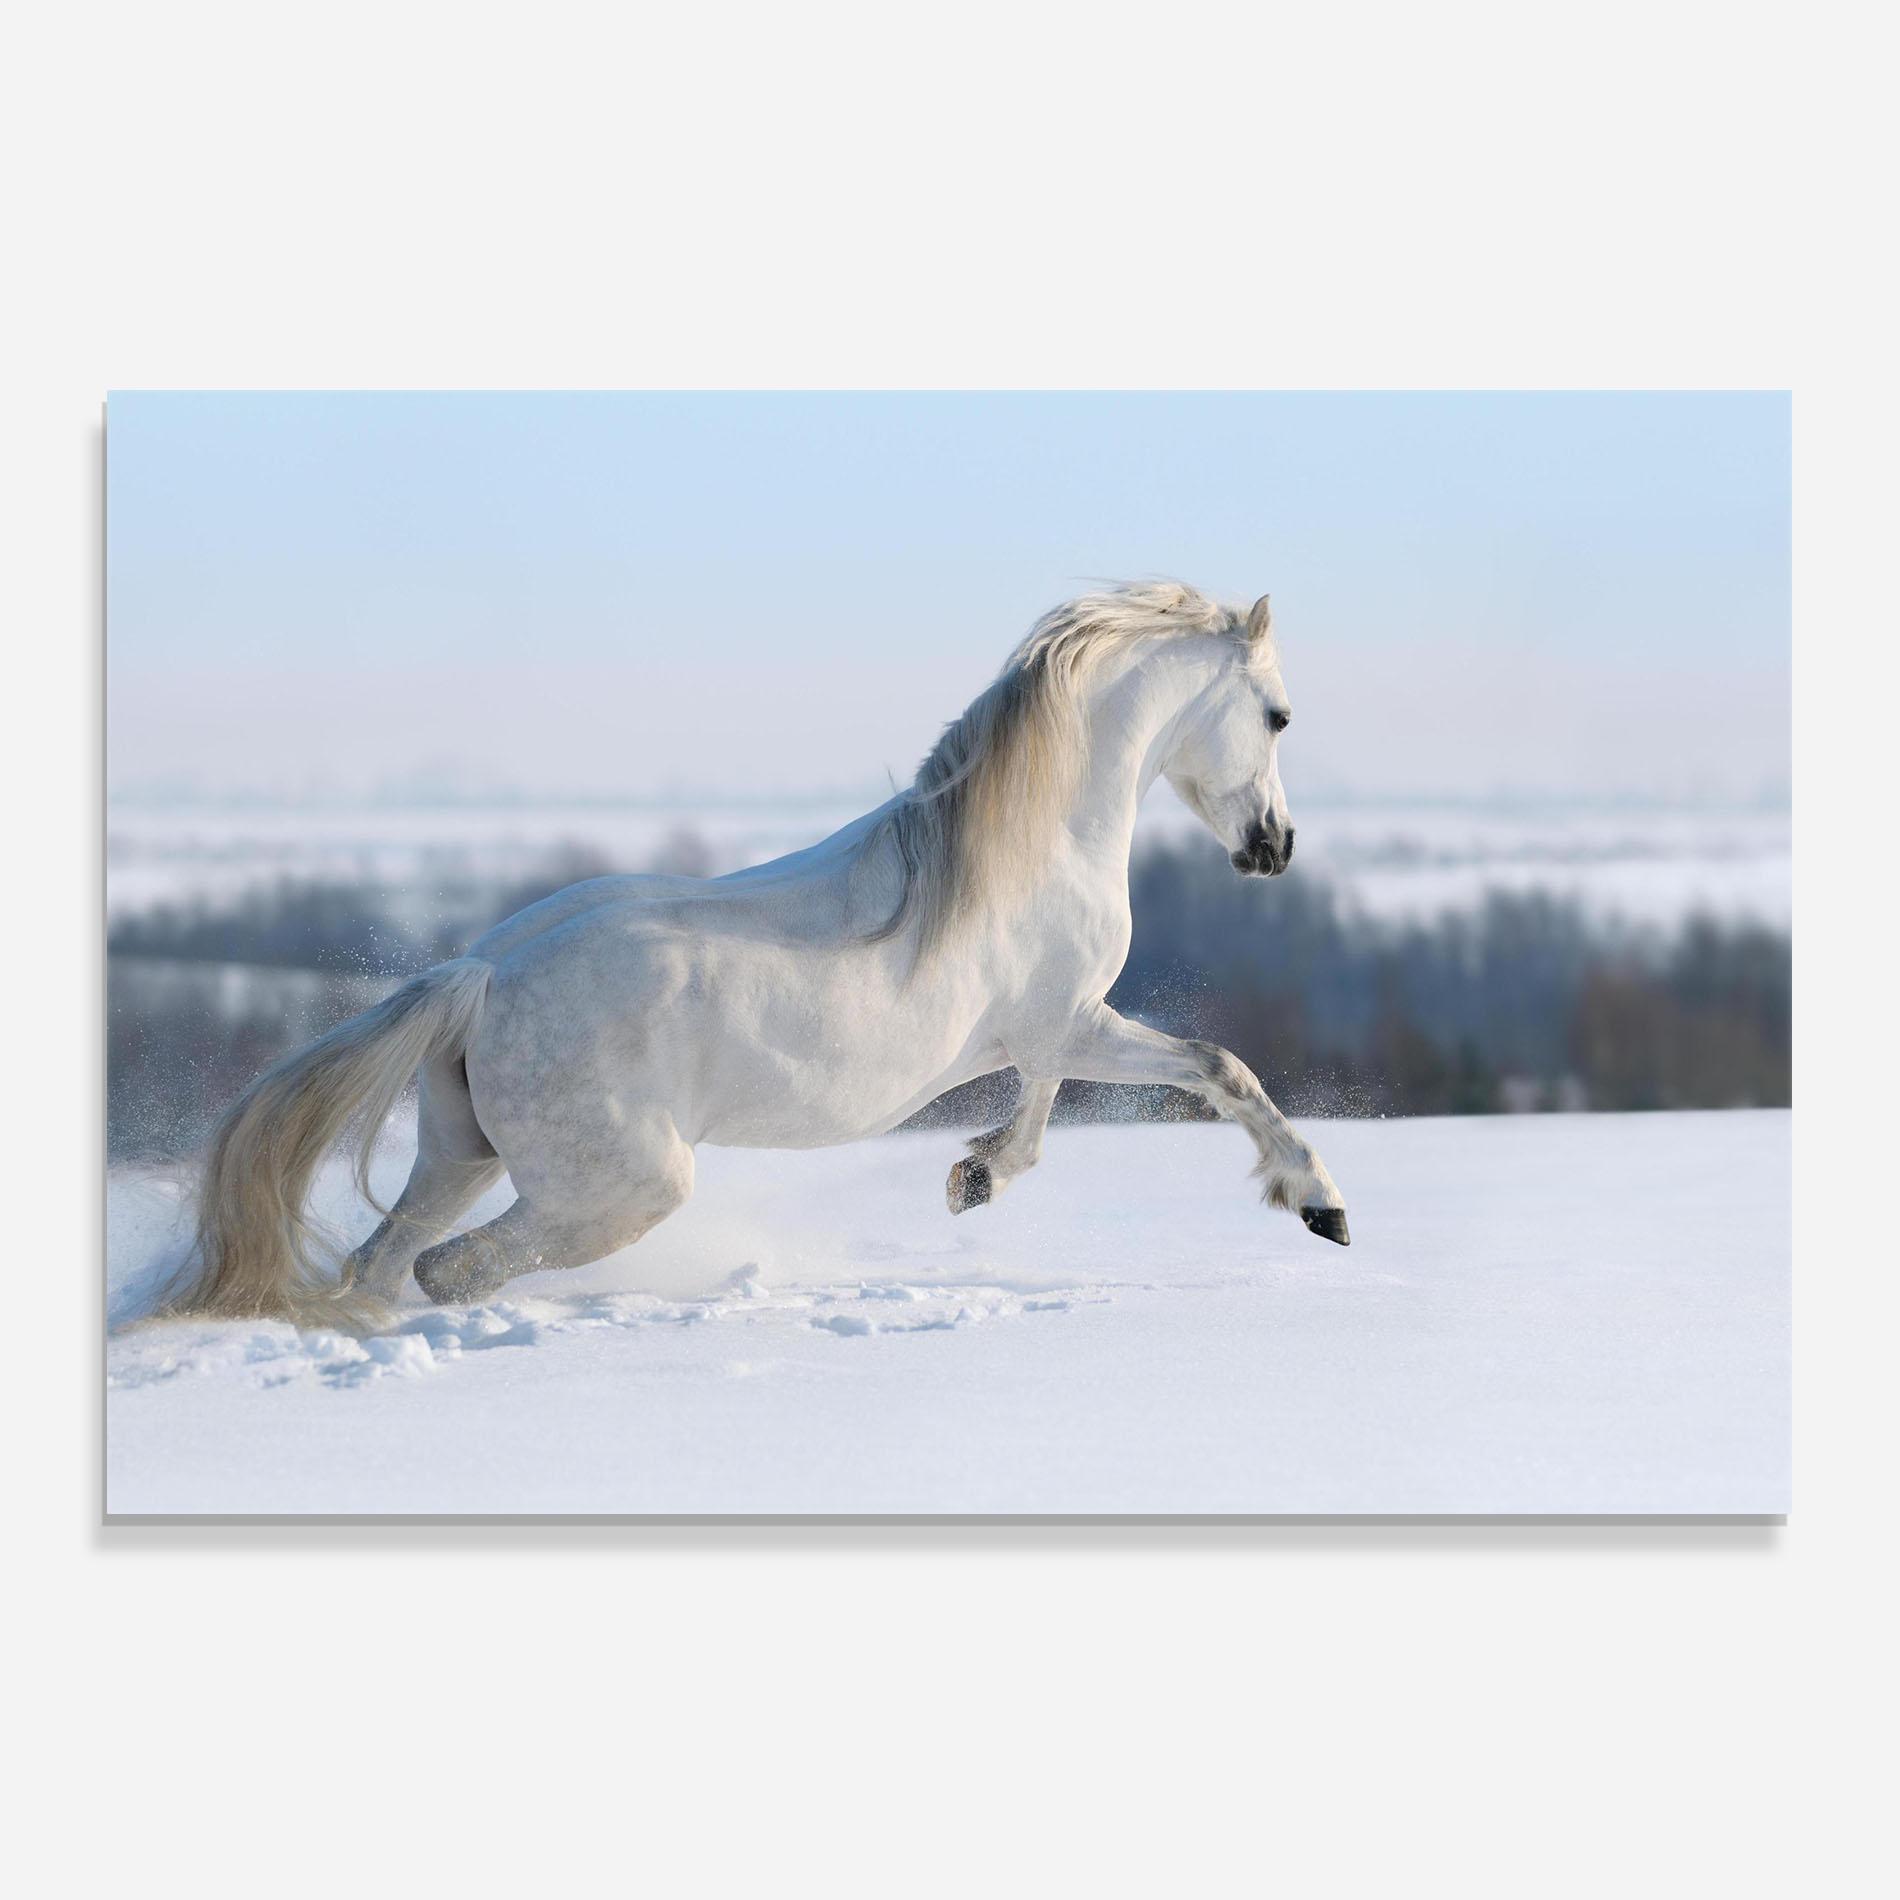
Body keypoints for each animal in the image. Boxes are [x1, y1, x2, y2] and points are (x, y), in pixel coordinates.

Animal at [163, 580, 1350, 1330]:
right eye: (1279, 717)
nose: (1275, 847)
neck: (1033, 842)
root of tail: (483, 978)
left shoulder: (1048, 1032)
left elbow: (1044, 1108)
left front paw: (973, 1176)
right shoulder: (1073, 1021)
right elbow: (1219, 1068)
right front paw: (1319, 1204)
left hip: (460, 1153)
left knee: (383, 1258)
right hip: (619, 1187)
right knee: (450, 1268)